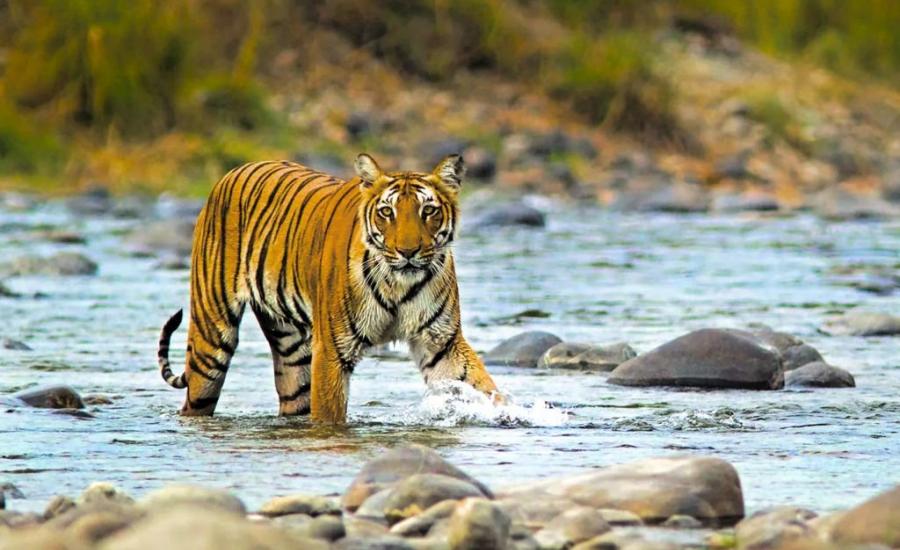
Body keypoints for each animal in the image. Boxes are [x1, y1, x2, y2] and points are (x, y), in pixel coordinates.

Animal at [158, 153, 502, 424]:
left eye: (428, 211)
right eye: (386, 212)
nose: (407, 252)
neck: (398, 283)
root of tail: (232, 172)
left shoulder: (441, 342)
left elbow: (482, 386)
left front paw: (508, 415)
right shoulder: (332, 350)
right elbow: (329, 415)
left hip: (292, 351)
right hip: (211, 339)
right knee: (196, 398)